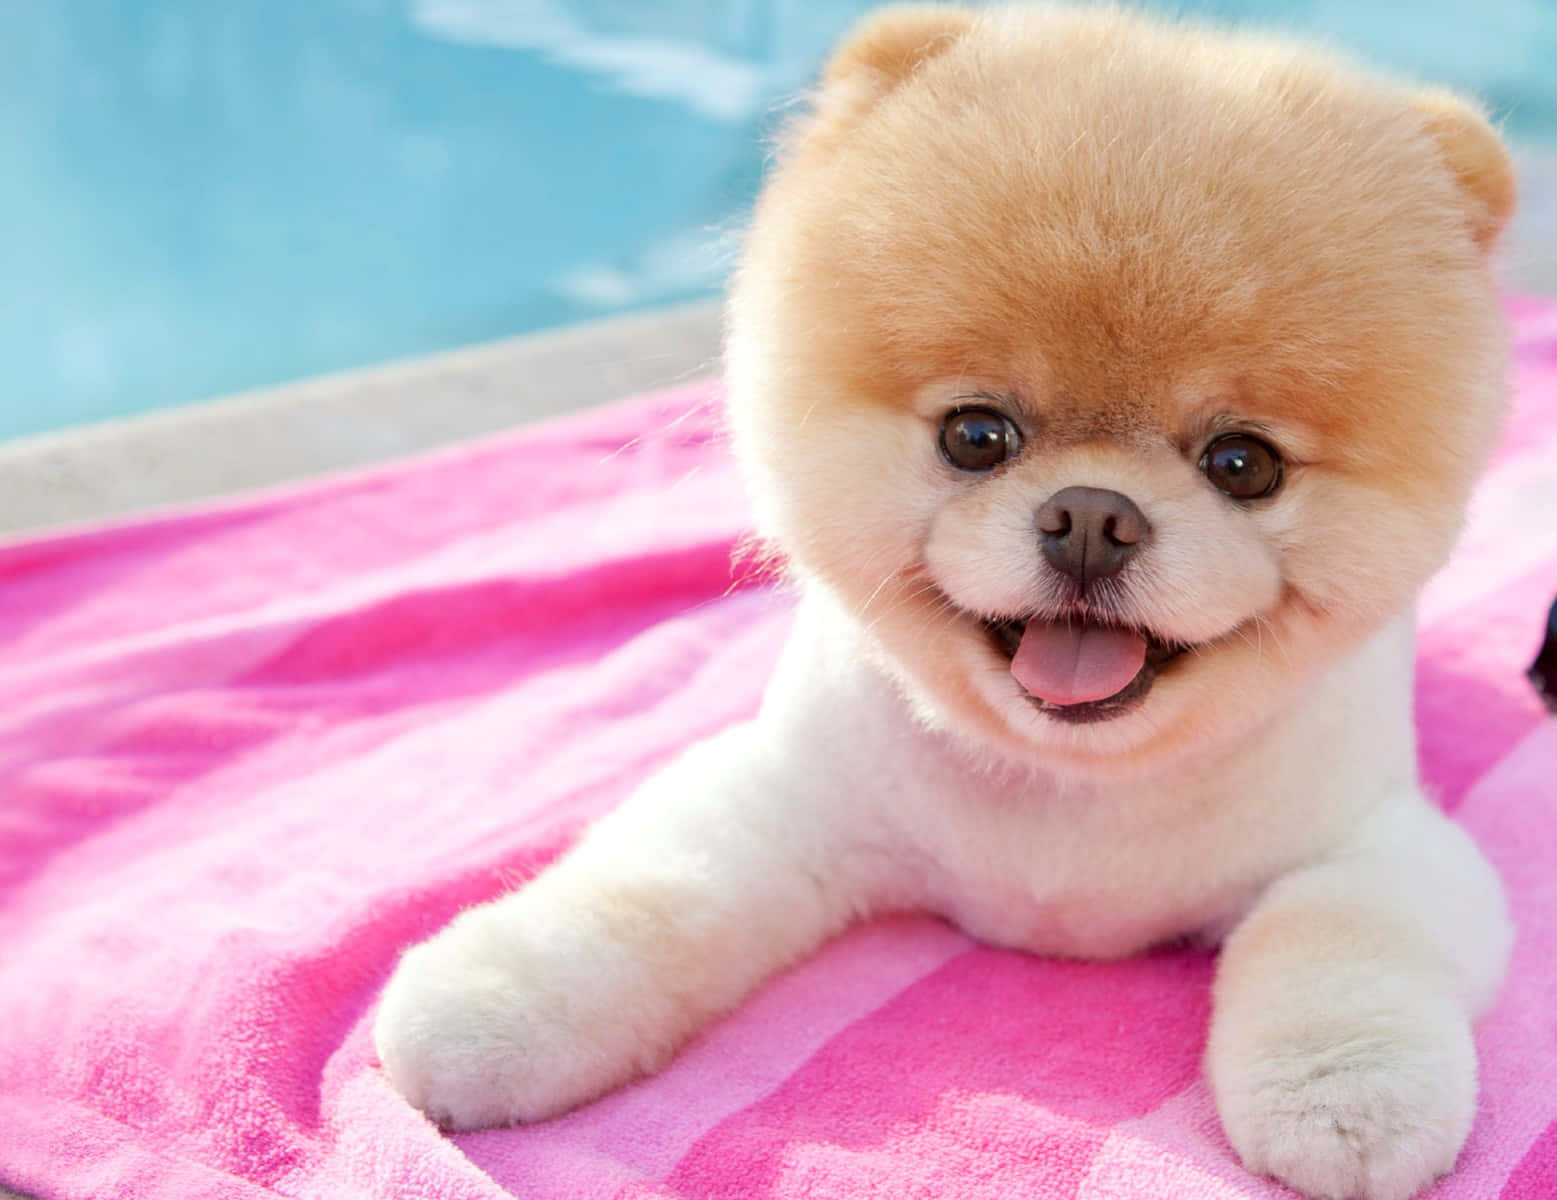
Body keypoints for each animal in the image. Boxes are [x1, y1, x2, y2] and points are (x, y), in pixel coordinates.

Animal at [370, 9, 1513, 1200]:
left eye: (1244, 464)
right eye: (975, 435)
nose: (1092, 516)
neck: (1072, 792)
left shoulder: (1373, 843)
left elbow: (1340, 932)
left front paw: (1343, 1095)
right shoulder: (794, 799)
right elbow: (652, 891)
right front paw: (495, 997)